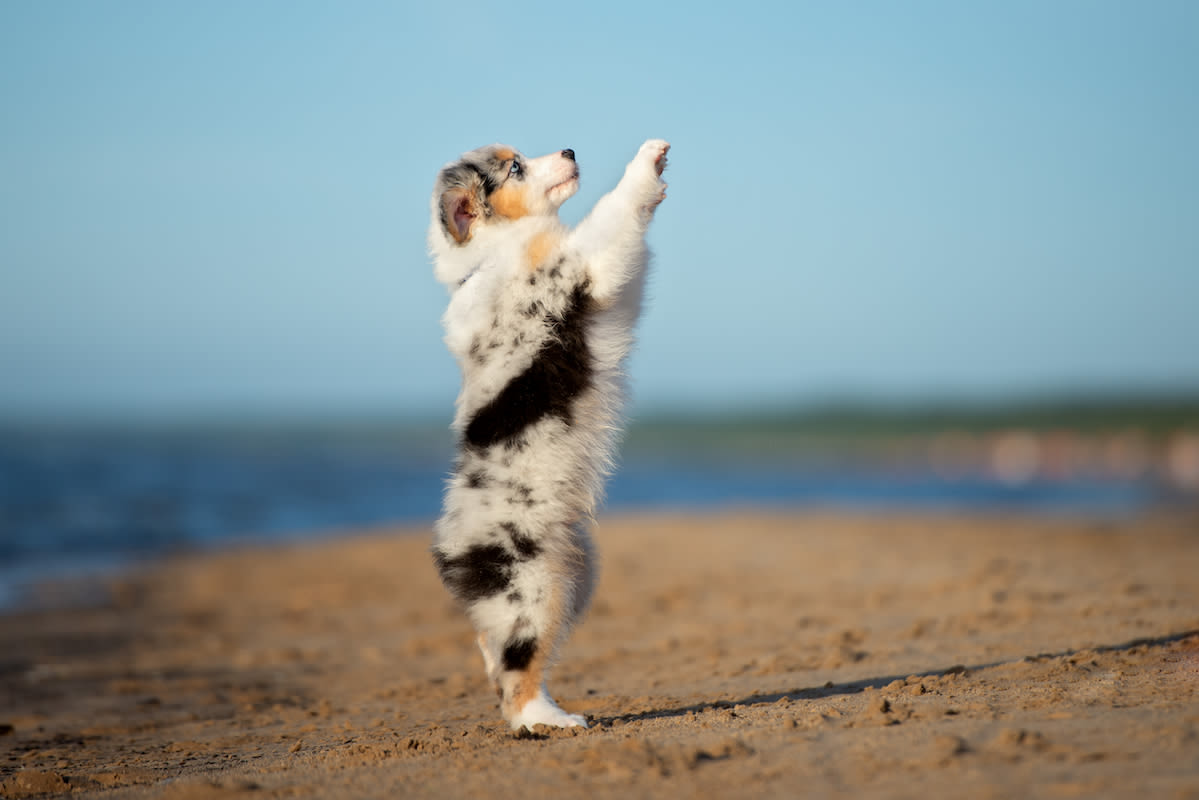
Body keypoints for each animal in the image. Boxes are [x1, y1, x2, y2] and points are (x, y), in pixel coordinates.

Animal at [426, 139, 671, 734]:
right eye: (514, 168)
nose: (570, 148)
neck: (493, 253)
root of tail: (449, 551)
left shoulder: (606, 287)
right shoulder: (581, 265)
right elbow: (614, 210)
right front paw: (648, 161)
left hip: (577, 575)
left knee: (495, 650)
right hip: (533, 586)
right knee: (519, 667)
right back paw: (550, 719)